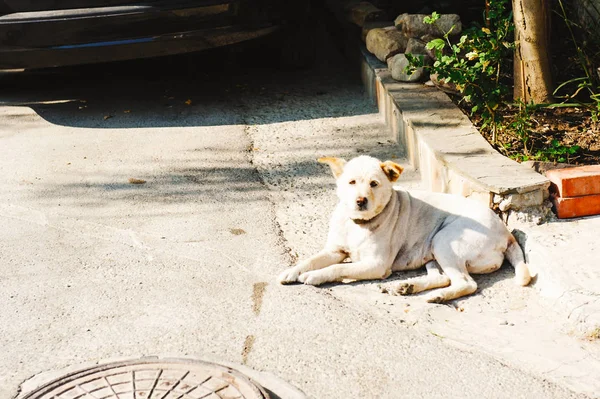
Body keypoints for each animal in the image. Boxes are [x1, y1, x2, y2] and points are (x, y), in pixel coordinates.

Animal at [276, 155, 528, 302]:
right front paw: (293, 270)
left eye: (374, 184)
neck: (359, 224)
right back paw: (408, 287)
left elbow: (338, 268)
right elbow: (312, 259)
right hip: (433, 250)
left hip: (444, 240)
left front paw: (316, 276)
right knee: (443, 277)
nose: (361, 201)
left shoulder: (376, 265)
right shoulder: (334, 250)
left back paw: (437, 296)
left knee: (466, 283)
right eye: (351, 182)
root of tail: (506, 232)